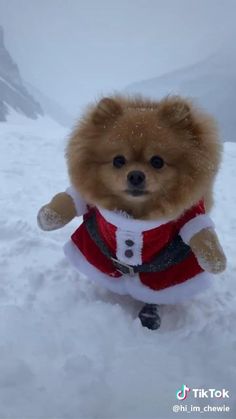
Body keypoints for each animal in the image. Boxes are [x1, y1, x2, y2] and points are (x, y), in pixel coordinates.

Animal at [37, 96, 227, 332]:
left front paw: (215, 260)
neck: (134, 216)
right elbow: (70, 200)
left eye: (157, 161)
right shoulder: (89, 203)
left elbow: (201, 234)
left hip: (166, 275)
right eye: (118, 160)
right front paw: (47, 217)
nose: (136, 175)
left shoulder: (190, 215)